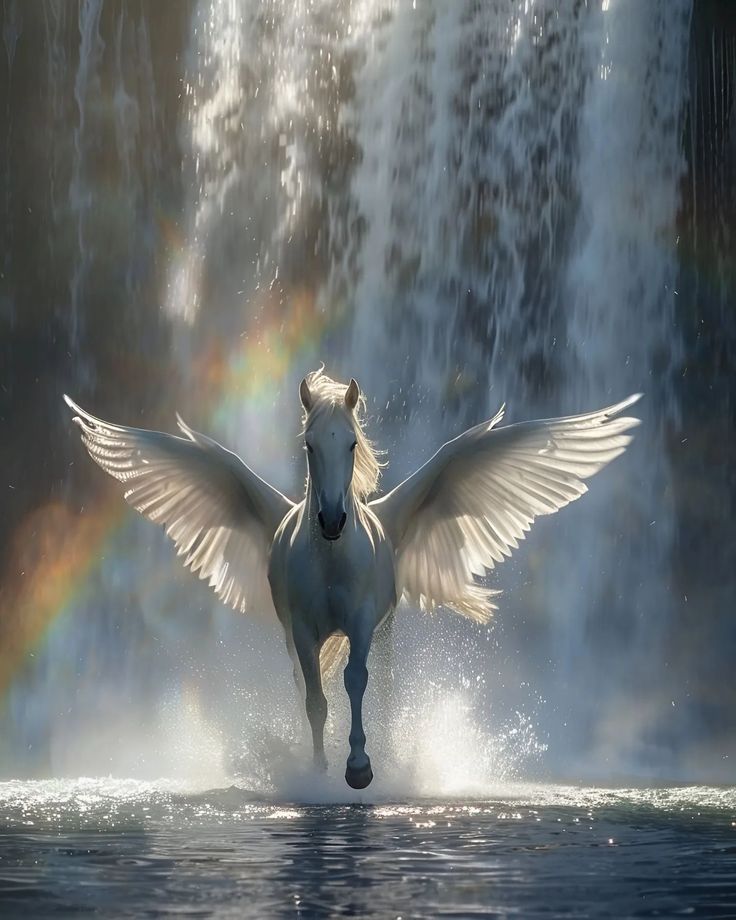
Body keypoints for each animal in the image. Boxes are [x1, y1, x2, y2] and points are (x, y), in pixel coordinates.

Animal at [61, 374, 640, 792]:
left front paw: (360, 767)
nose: (333, 520)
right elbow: (316, 699)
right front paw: (319, 770)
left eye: (353, 442)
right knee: (305, 686)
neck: (333, 560)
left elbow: (356, 682)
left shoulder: (362, 623)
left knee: (380, 687)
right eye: (309, 445)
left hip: (384, 630)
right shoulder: (302, 630)